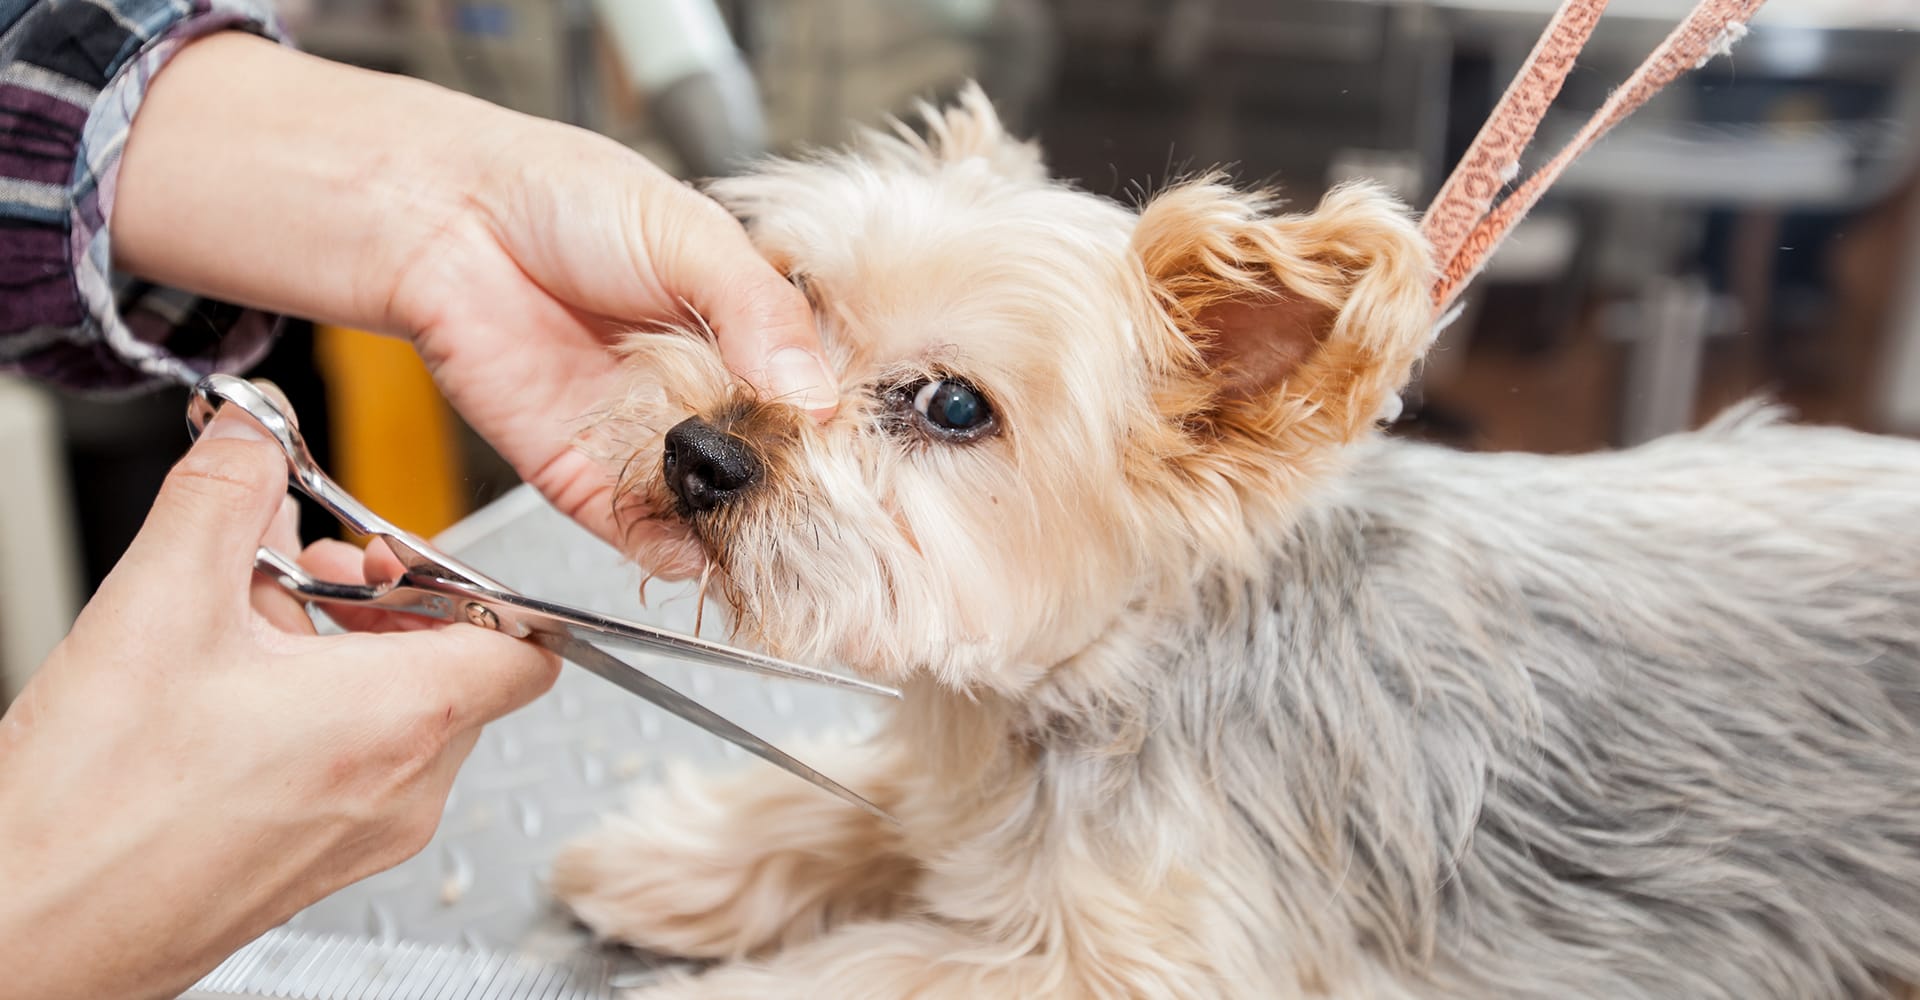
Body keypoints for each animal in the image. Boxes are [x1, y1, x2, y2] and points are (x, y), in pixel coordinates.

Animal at [549, 87, 1920, 998]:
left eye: (953, 406)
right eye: (796, 294)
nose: (699, 454)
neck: (1116, 674)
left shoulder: (1135, 962)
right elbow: (857, 799)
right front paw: (672, 856)